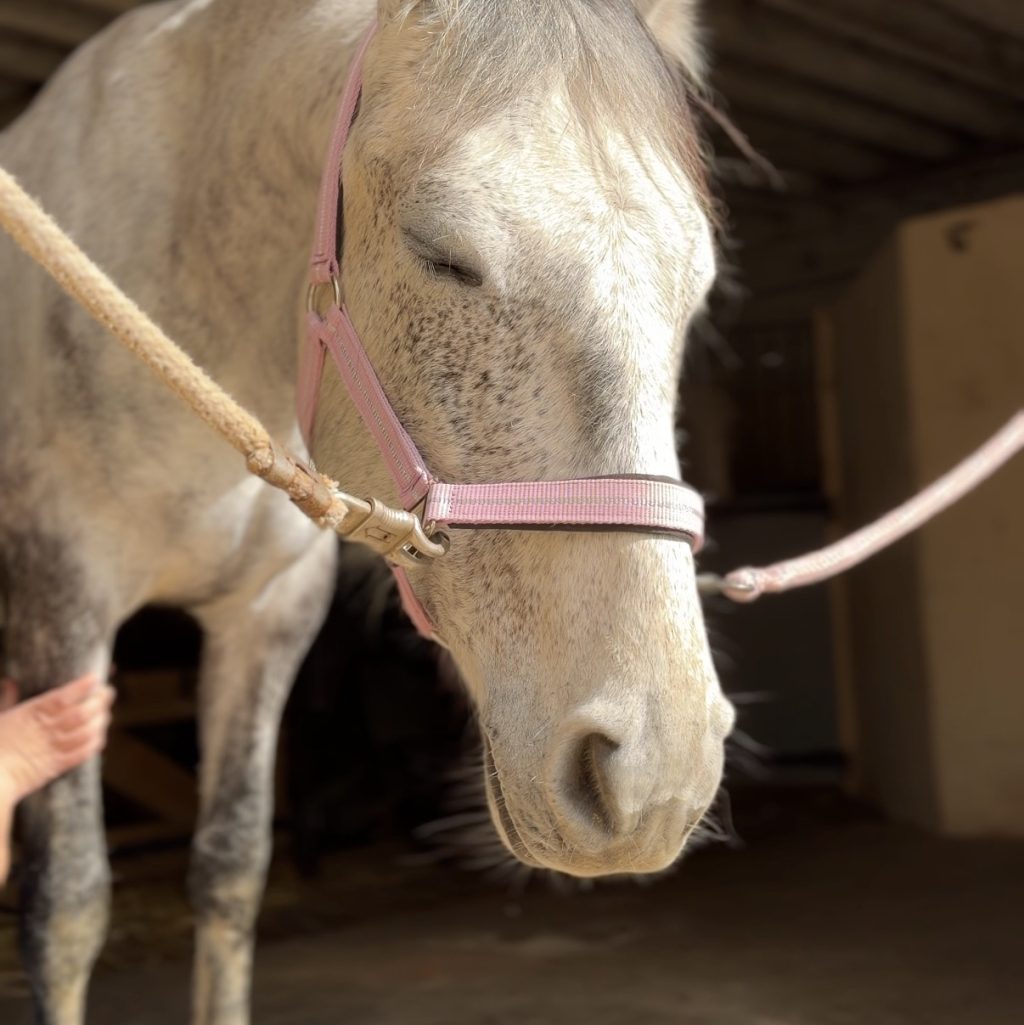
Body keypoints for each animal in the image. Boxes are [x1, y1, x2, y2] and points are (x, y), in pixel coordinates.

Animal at [0, 1, 734, 1021]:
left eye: (694, 287)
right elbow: (66, 906)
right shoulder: (62, 599)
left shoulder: (266, 619)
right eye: (443, 254)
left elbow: (230, 868)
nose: (655, 776)